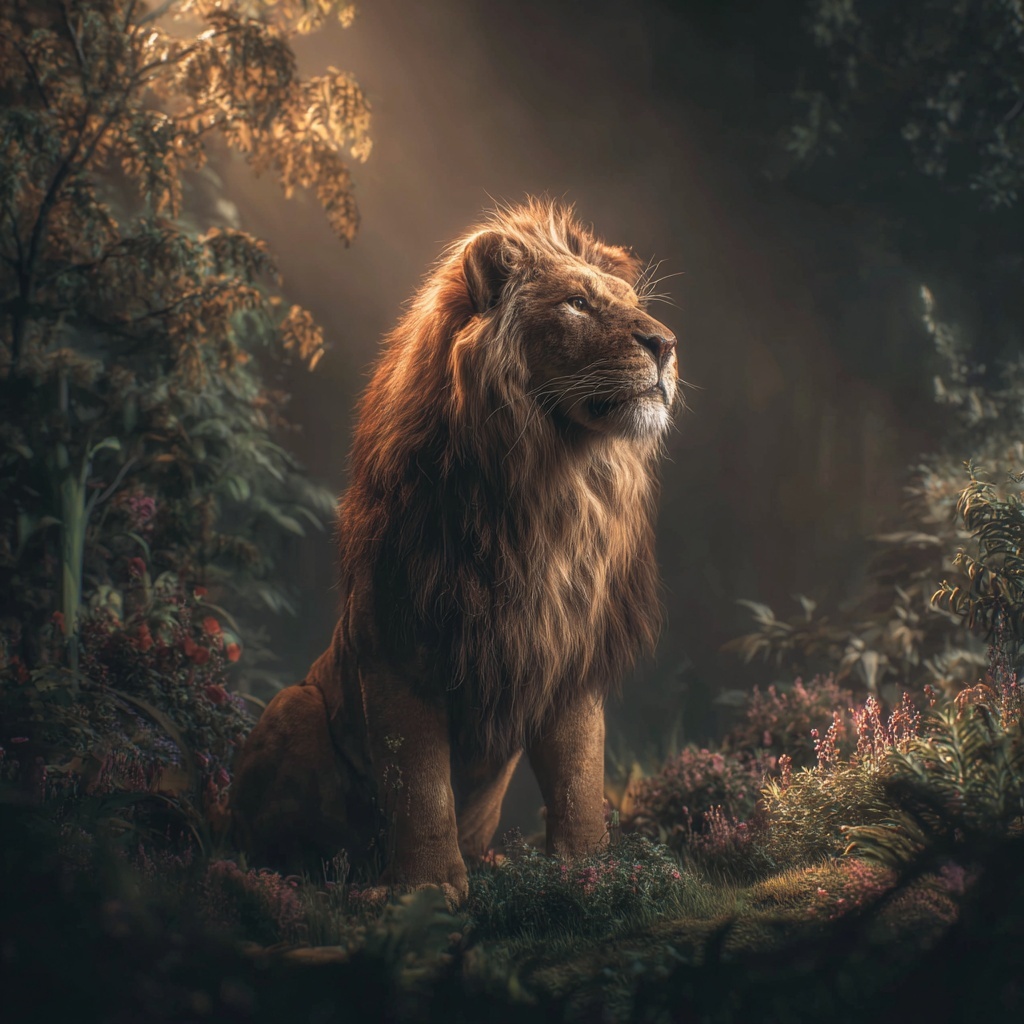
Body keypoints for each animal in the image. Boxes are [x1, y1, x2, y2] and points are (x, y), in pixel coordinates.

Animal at [231, 199, 681, 905]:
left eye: (634, 304)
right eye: (578, 303)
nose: (666, 345)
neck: (549, 483)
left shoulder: (568, 649)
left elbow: (579, 776)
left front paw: (592, 872)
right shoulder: (397, 642)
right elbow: (419, 785)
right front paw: (426, 890)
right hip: (292, 703)